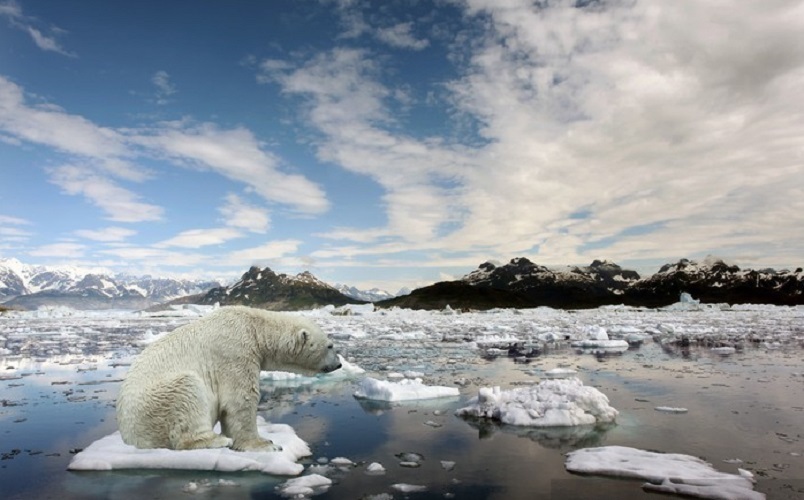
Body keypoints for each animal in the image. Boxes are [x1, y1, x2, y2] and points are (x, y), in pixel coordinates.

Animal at [116, 306, 341, 451]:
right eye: (330, 346)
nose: (339, 364)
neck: (254, 327)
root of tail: (128, 438)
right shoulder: (235, 353)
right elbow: (240, 401)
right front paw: (266, 444)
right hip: (156, 405)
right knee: (187, 391)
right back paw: (217, 440)